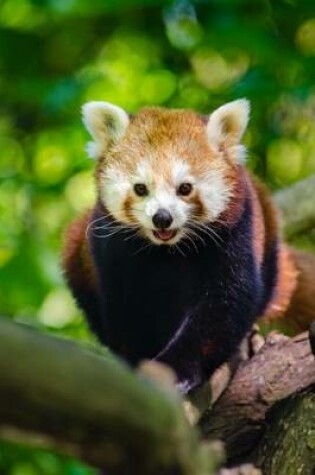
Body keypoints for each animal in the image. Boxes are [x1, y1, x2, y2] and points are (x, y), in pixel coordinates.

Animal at [63, 99, 315, 394]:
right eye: (140, 188)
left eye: (184, 188)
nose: (162, 217)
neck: (168, 250)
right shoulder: (111, 252)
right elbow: (125, 314)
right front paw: (138, 364)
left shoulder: (235, 234)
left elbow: (223, 306)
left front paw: (175, 370)